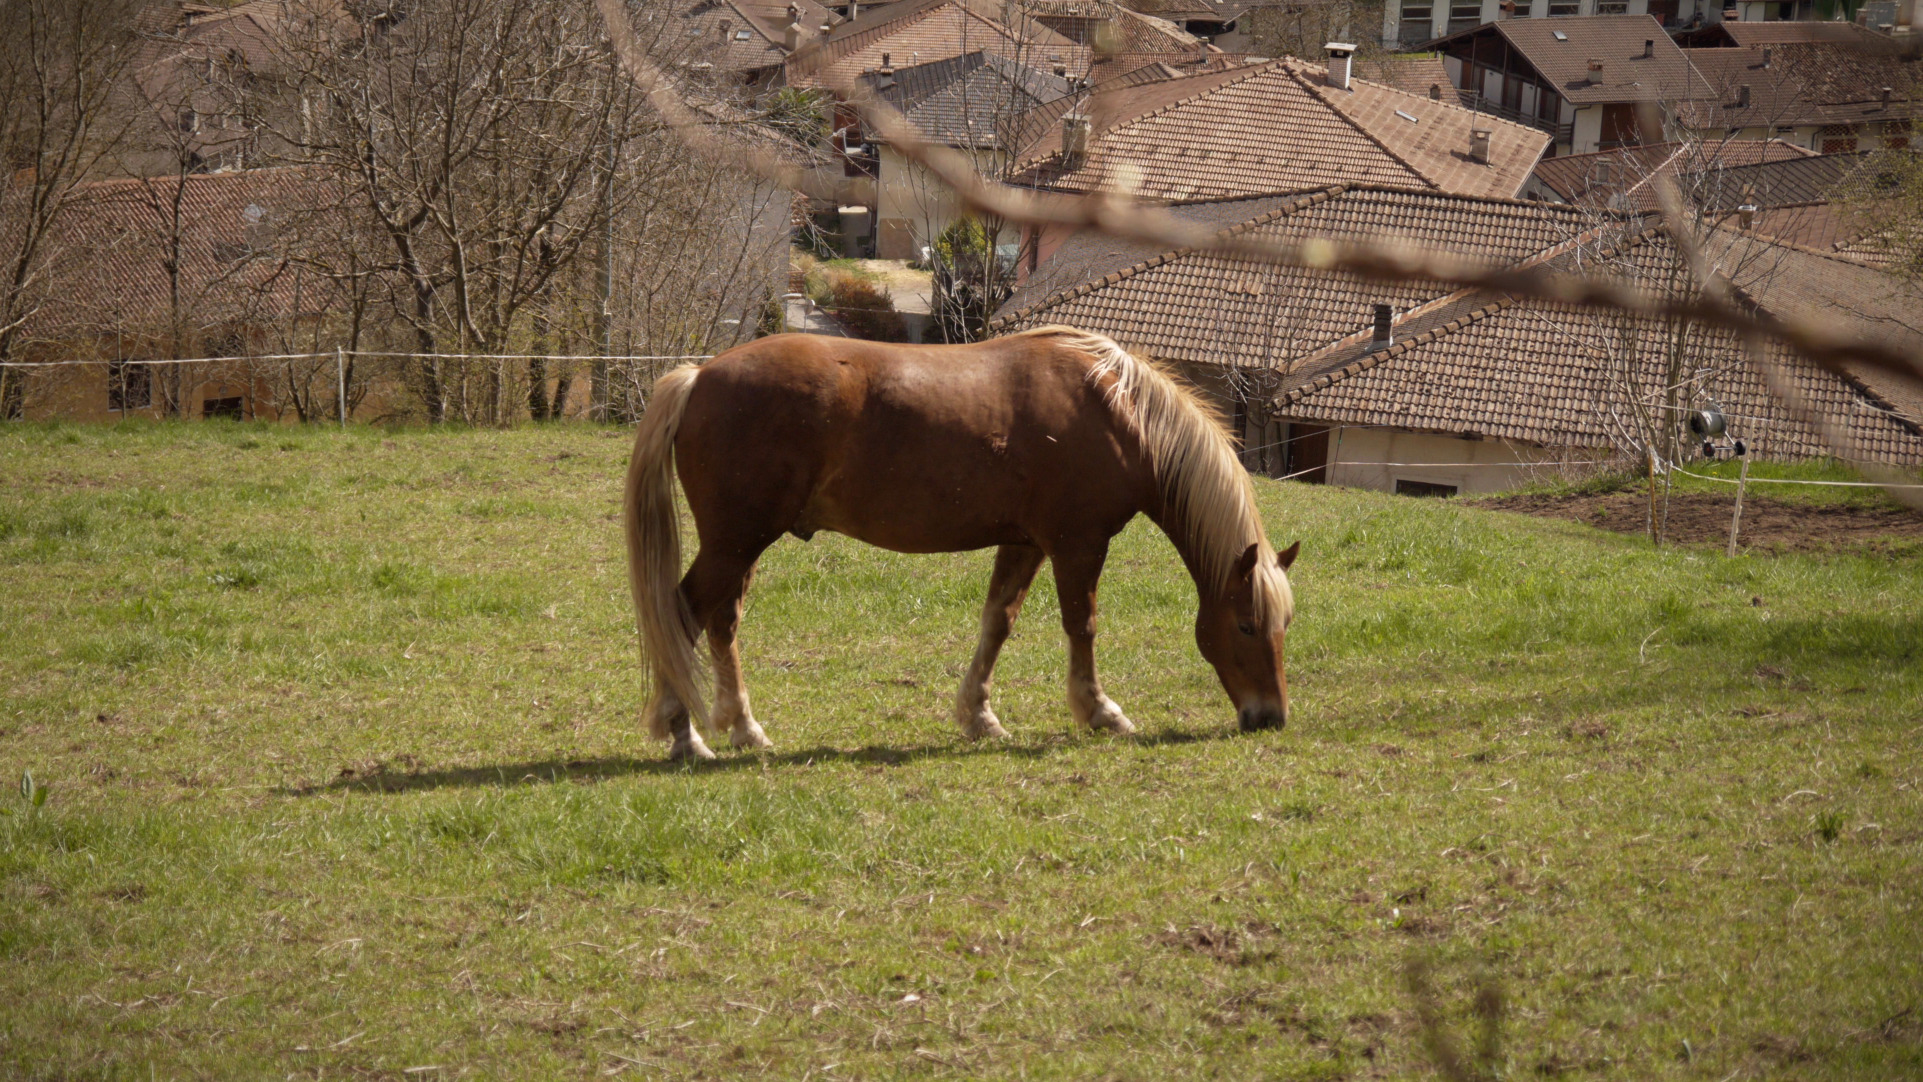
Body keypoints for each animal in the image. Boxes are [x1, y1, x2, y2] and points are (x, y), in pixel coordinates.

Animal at [622, 325, 1299, 761]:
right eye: (1245, 625)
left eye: (1283, 625)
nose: (1270, 718)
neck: (1118, 412)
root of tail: (699, 375)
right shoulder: (1077, 544)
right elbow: (1082, 626)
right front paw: (1099, 712)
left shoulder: (1026, 543)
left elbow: (997, 622)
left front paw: (979, 716)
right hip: (734, 544)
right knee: (682, 615)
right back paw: (686, 735)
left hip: (740, 547)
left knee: (721, 622)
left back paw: (742, 728)